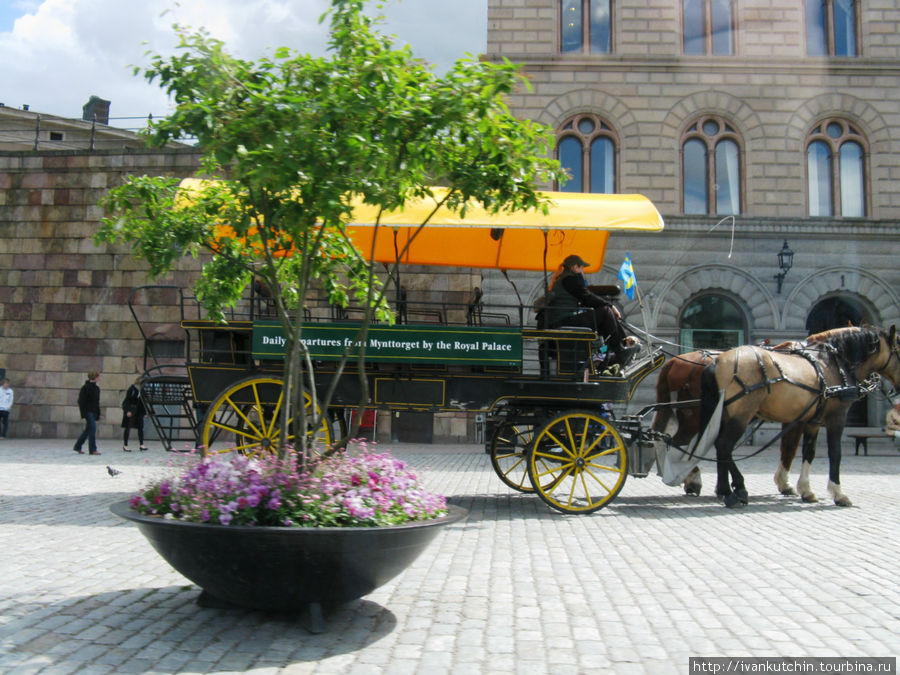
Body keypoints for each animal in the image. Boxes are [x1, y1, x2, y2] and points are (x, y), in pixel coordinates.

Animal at [700, 326, 900, 508]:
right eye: (899, 349)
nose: (895, 389)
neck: (834, 364)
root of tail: (717, 361)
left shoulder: (812, 421)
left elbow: (808, 452)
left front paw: (806, 490)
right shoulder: (837, 417)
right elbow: (835, 453)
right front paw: (838, 493)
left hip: (726, 416)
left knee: (719, 446)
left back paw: (728, 489)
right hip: (741, 416)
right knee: (724, 446)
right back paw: (733, 491)